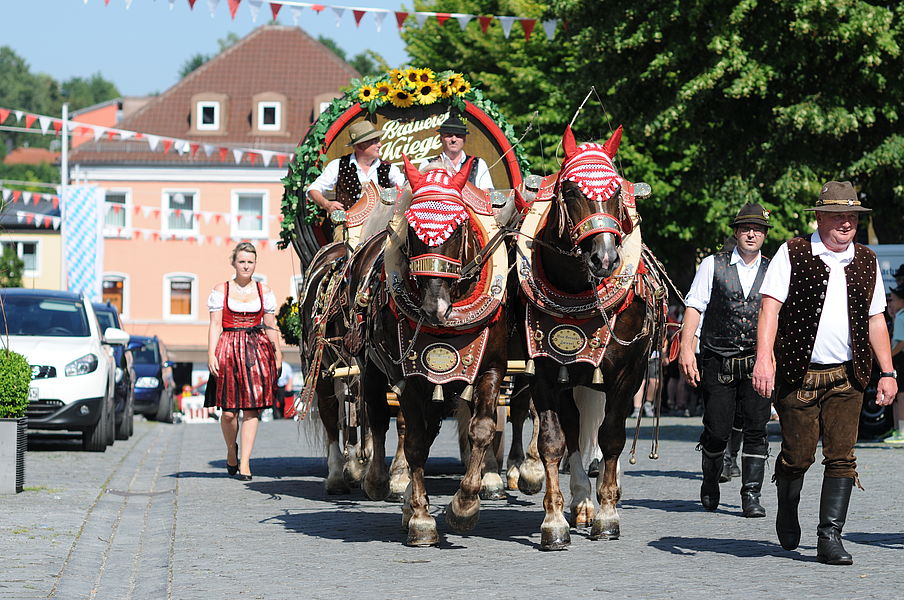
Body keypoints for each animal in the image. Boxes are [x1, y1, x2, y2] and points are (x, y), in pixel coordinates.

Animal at [516, 126, 672, 552]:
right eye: (570, 190)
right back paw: (580, 501)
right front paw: (554, 522)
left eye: (616, 190)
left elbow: (613, 437)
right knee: (573, 431)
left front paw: (608, 514)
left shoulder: (628, 373)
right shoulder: (544, 371)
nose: (604, 258)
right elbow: (553, 441)